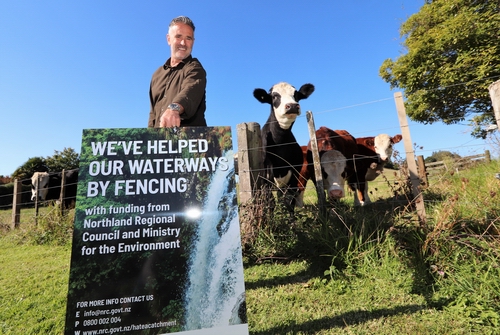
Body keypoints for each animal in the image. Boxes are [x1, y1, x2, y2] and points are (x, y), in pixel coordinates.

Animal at [252, 82, 314, 211]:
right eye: (274, 96)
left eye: (296, 94)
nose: (292, 106)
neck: (280, 141)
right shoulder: (266, 179)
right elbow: (270, 203)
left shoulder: (295, 176)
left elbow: (289, 203)